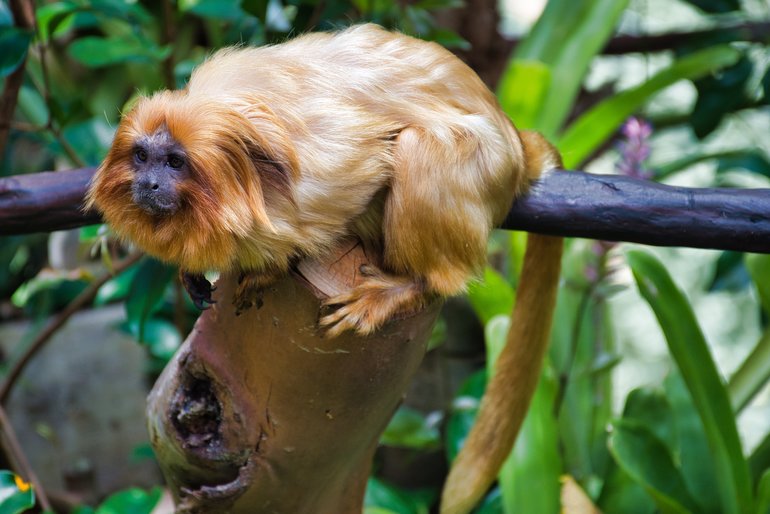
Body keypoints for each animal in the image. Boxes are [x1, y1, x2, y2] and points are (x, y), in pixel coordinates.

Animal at [84, 24, 560, 512]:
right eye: (142, 157)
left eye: (175, 162)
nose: (148, 184)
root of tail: (514, 145)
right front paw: (199, 271)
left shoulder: (325, 165)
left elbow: (363, 175)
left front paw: (271, 266)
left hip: (480, 170)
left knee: (421, 157)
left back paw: (409, 287)